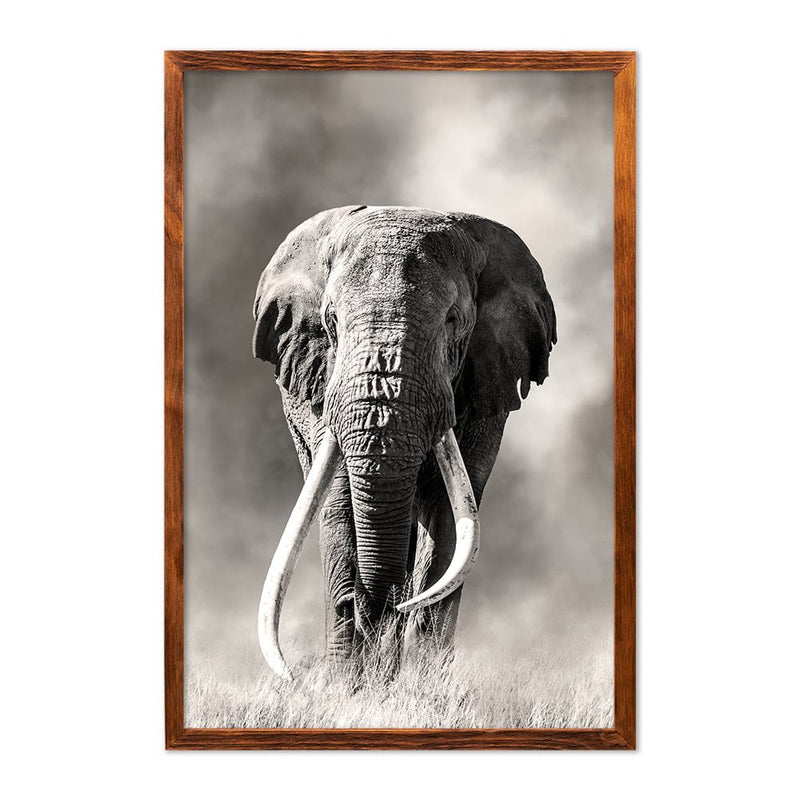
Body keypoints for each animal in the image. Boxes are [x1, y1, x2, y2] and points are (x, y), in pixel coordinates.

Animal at [252, 205, 556, 681]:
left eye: (453, 321)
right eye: (331, 322)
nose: (366, 607)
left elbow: (450, 517)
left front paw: (421, 682)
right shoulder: (322, 384)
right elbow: (339, 502)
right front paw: (347, 683)